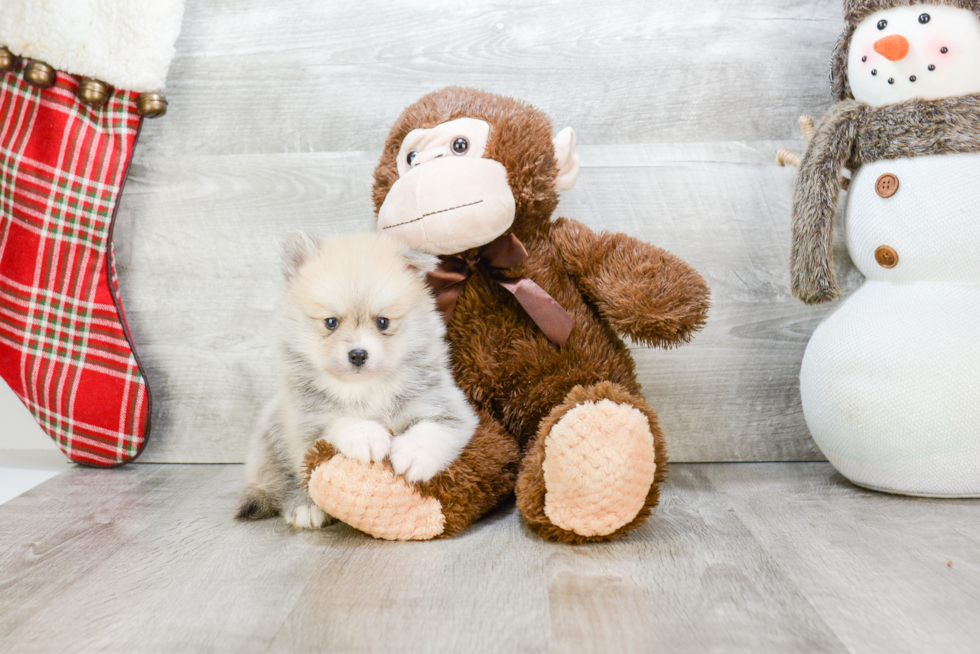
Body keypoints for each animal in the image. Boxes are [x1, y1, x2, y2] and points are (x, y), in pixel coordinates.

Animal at [238, 233, 482, 532]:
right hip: (273, 436)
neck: (366, 389)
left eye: (383, 322)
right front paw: (366, 434)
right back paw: (305, 507)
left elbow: (432, 429)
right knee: (283, 481)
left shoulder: (449, 407)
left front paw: (413, 454)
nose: (357, 354)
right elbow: (339, 420)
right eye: (331, 322)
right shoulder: (306, 423)